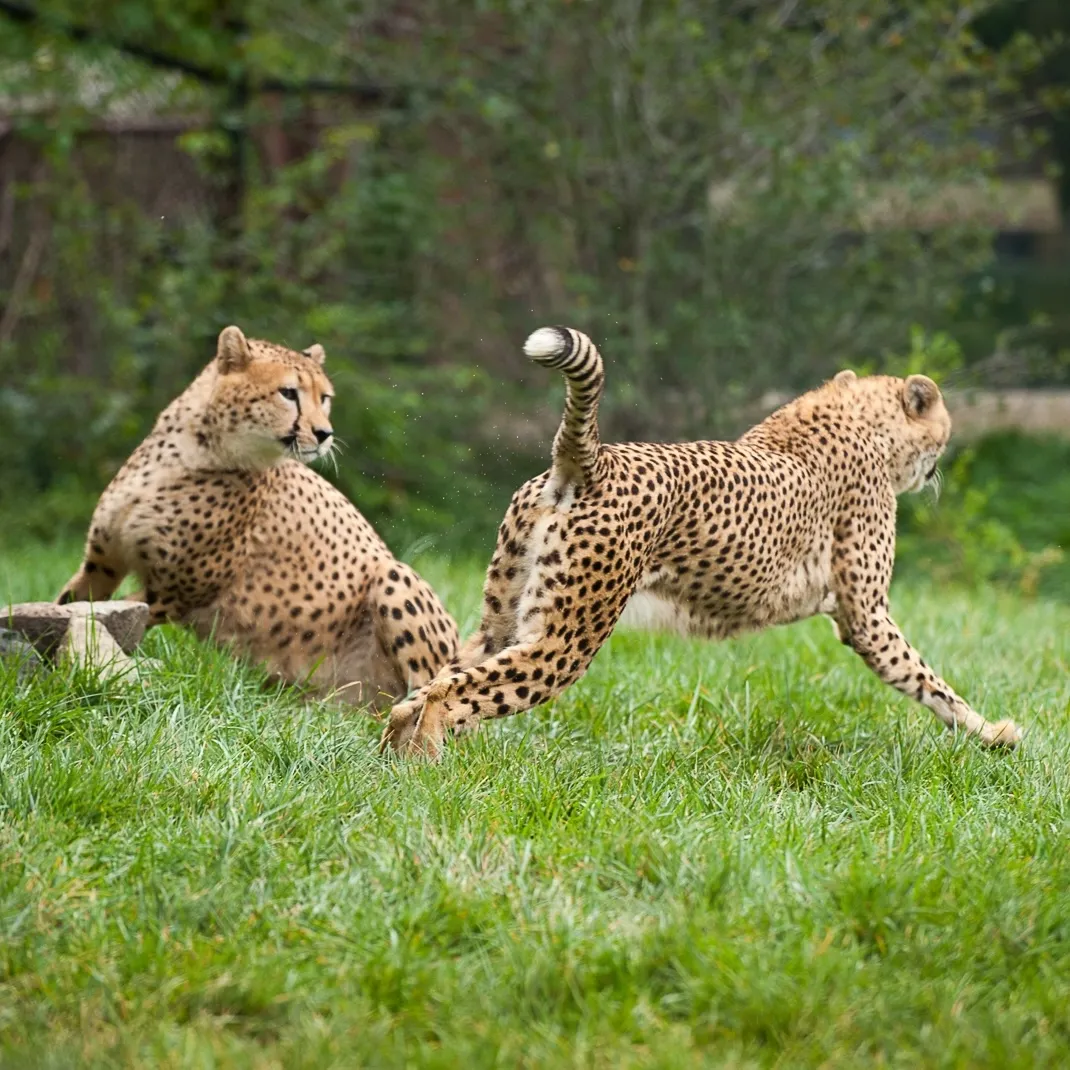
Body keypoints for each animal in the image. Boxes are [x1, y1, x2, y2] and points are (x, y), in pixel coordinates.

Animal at [58, 325, 457, 710]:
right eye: (289, 393)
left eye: (324, 398)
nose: (325, 433)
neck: (189, 451)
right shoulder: (102, 565)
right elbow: (70, 604)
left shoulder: (172, 594)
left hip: (395, 574)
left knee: (432, 691)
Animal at [383, 325, 1018, 753]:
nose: (940, 461)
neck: (857, 421)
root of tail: (593, 459)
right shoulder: (865, 614)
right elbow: (928, 680)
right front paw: (994, 734)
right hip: (566, 638)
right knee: (452, 695)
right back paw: (430, 764)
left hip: (505, 618)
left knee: (425, 686)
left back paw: (400, 756)